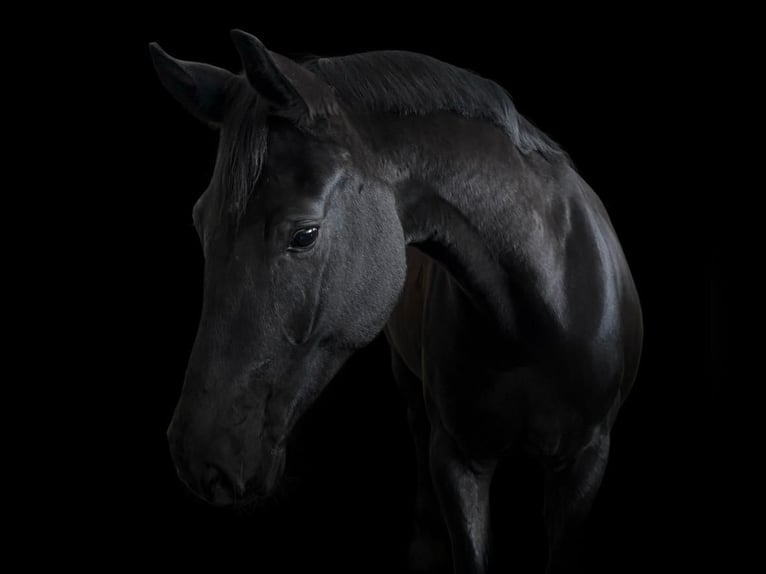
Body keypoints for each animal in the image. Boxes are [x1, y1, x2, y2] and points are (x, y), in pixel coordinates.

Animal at [150, 30, 643, 574]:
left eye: (304, 234)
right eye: (200, 222)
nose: (198, 457)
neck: (539, 315)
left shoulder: (585, 463)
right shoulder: (458, 460)